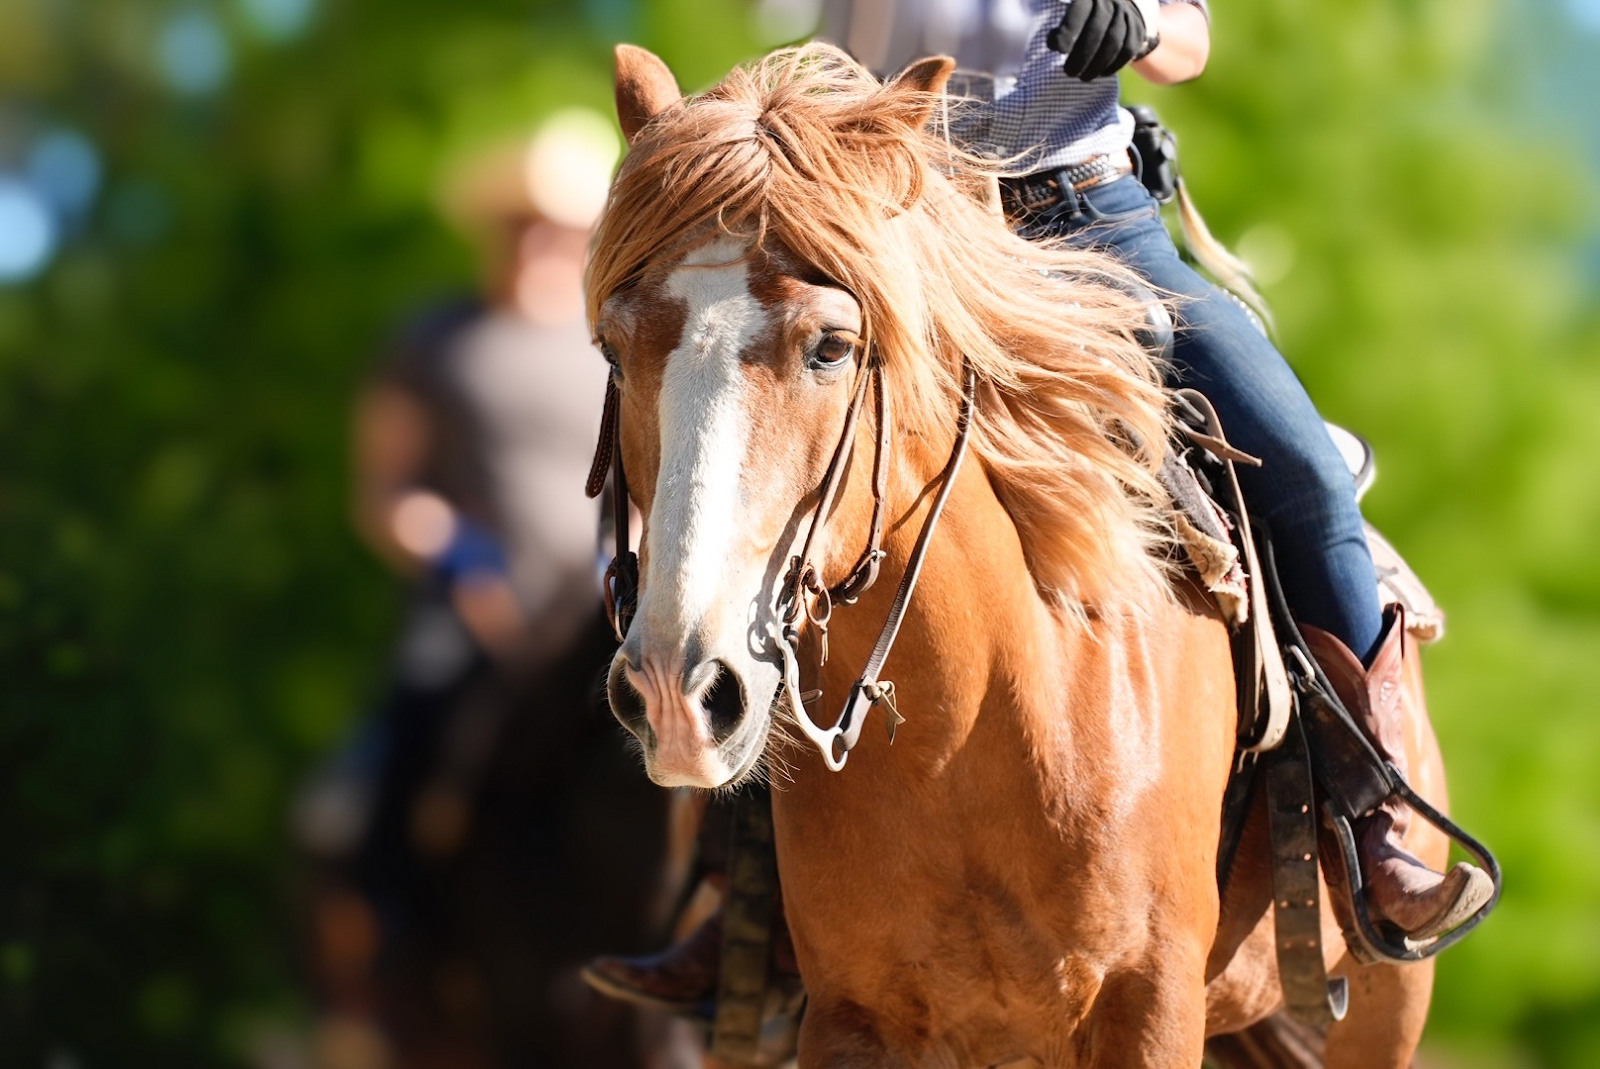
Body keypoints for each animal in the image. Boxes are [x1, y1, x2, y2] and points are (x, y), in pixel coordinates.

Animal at [595, 43, 1459, 1069]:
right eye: (613, 348)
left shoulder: (1151, 1002)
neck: (983, 713)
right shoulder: (853, 1013)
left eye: (833, 345)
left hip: (1379, 1011)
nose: (679, 690)